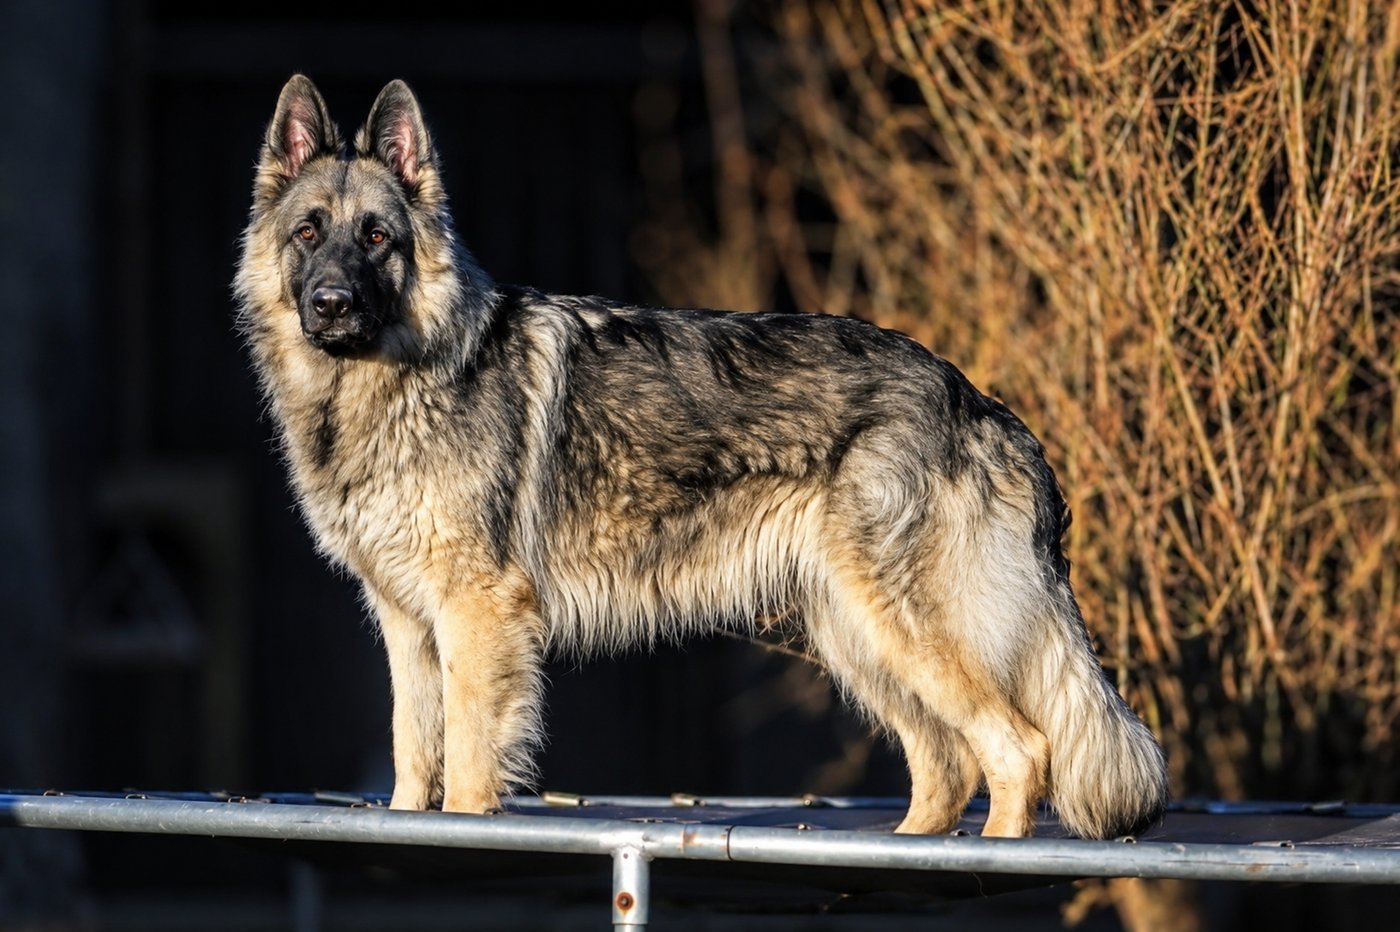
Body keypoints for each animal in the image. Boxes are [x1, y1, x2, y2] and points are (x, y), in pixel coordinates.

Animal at [235, 75, 1167, 839]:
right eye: (309, 233)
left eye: (378, 237)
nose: (332, 304)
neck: (392, 380)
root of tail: (979, 401)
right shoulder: (405, 623)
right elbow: (410, 757)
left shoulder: (475, 616)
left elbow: (464, 768)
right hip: (857, 635)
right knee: (949, 764)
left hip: (901, 630)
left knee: (1018, 750)